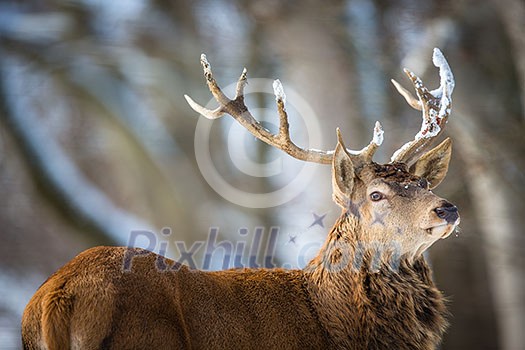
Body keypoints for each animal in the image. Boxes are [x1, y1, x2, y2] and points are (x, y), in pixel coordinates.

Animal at [21, 48, 458, 350]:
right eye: (376, 194)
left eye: (423, 183)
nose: (447, 207)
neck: (340, 327)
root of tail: (56, 297)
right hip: (144, 338)